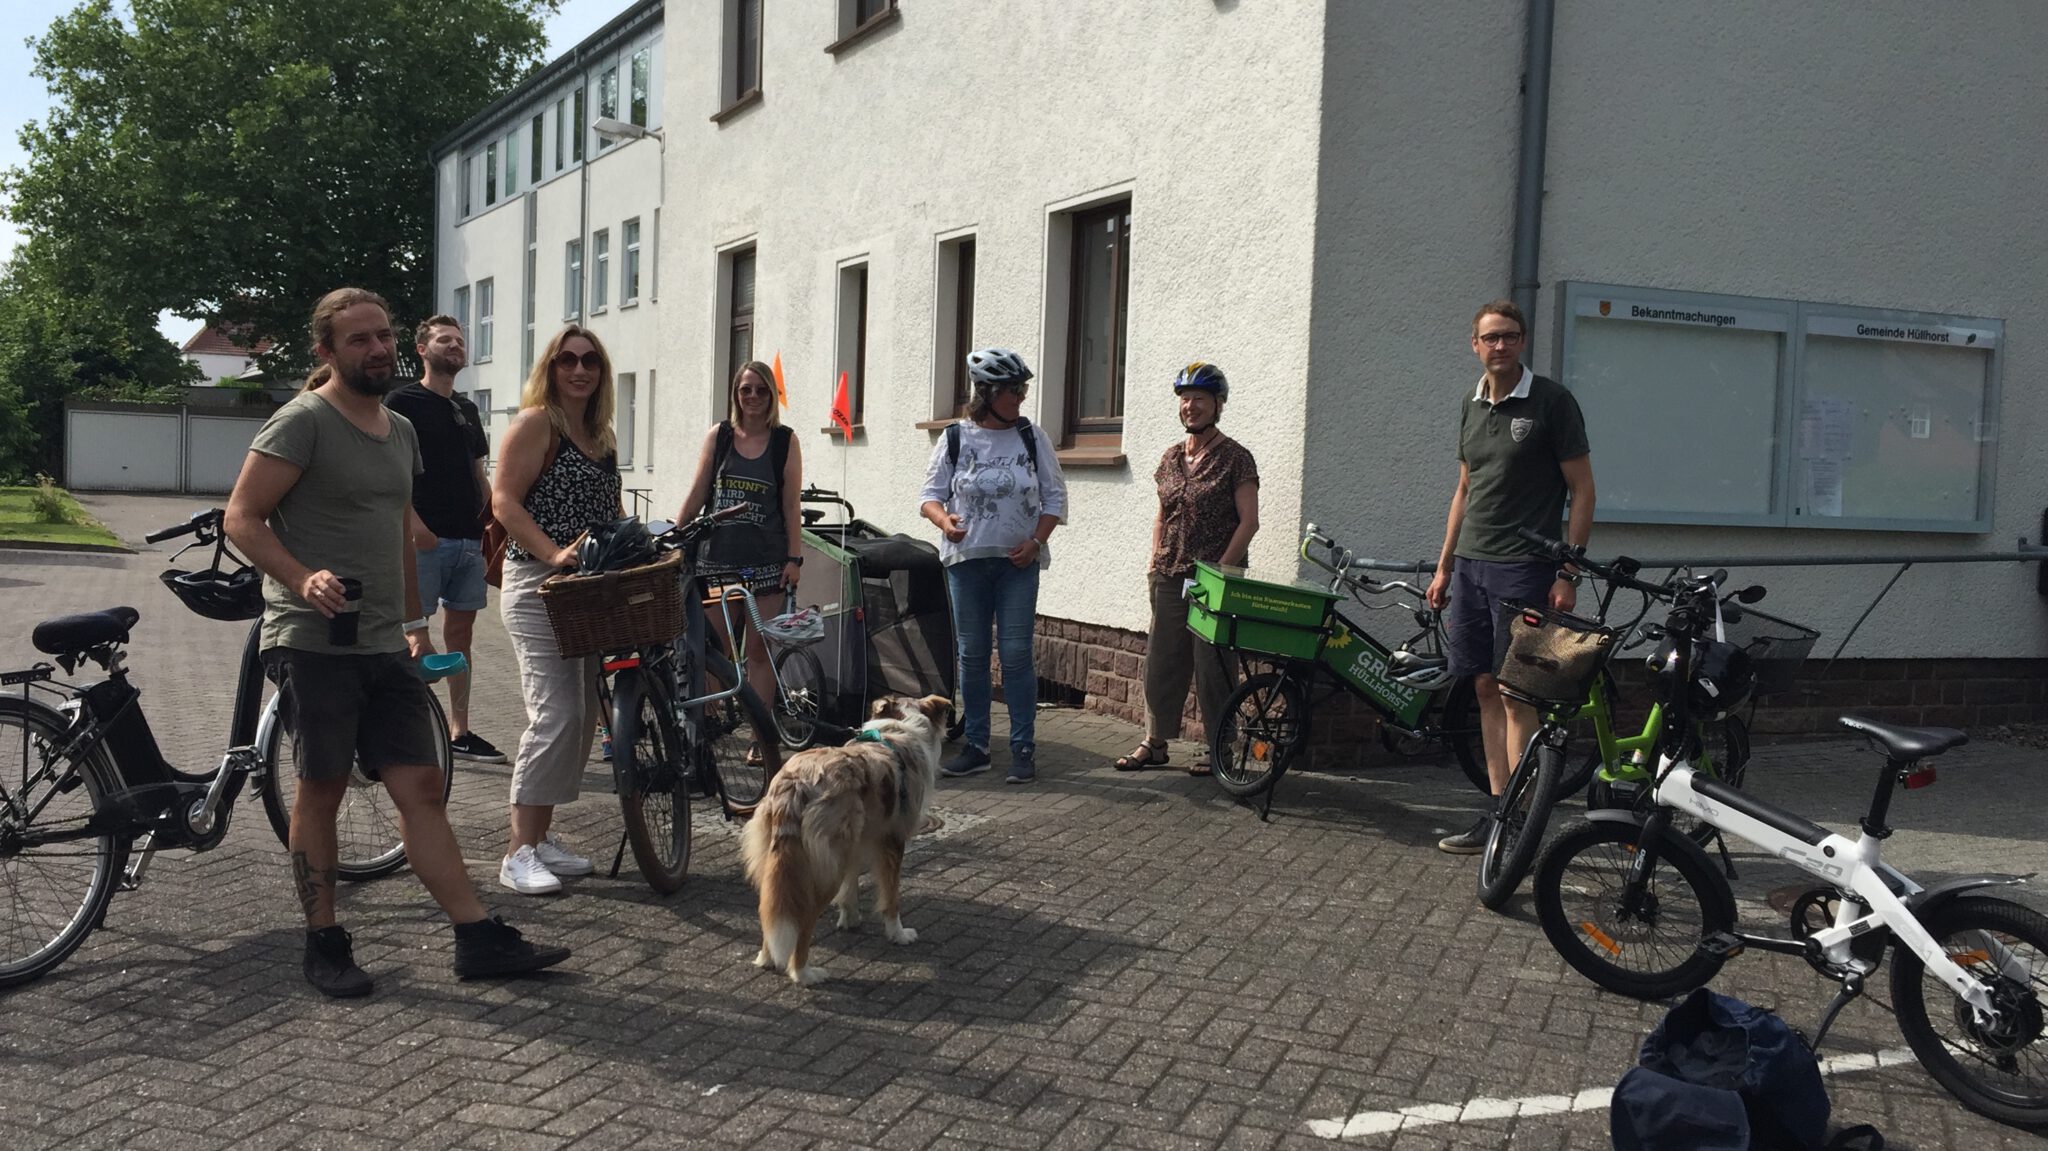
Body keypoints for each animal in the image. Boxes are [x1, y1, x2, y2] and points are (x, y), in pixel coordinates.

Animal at [745, 684, 950, 983]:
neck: (899, 729)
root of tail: (796, 782)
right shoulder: (892, 840)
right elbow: (891, 897)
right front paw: (898, 934)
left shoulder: (855, 844)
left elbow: (851, 885)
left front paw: (850, 919)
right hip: (826, 867)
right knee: (803, 920)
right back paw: (803, 973)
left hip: (783, 860)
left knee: (769, 907)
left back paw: (767, 957)